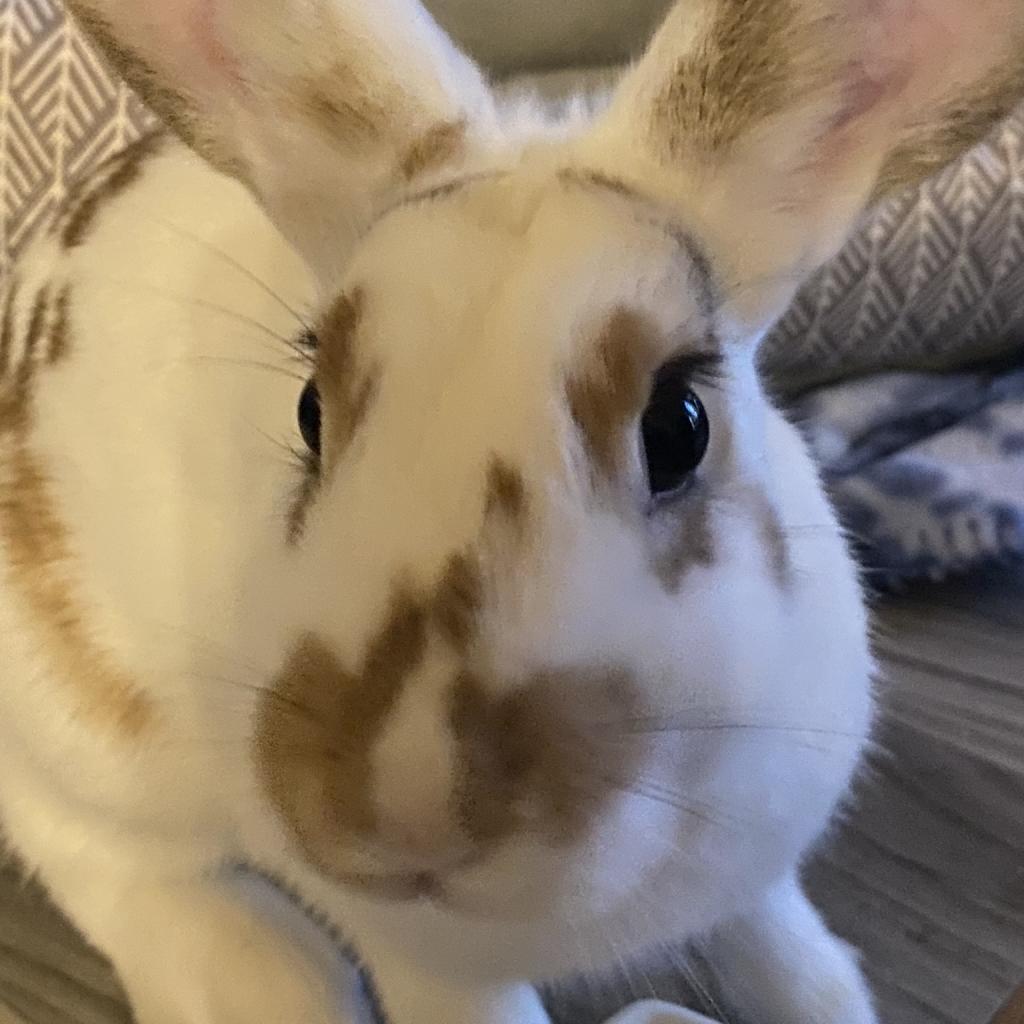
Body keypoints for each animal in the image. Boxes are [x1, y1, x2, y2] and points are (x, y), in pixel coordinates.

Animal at [1, 0, 1021, 1022]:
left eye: (679, 426)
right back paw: (268, 977)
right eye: (310, 411)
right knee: (93, 851)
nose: (402, 807)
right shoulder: (434, 966)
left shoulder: (759, 867)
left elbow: (794, 960)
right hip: (87, 741)